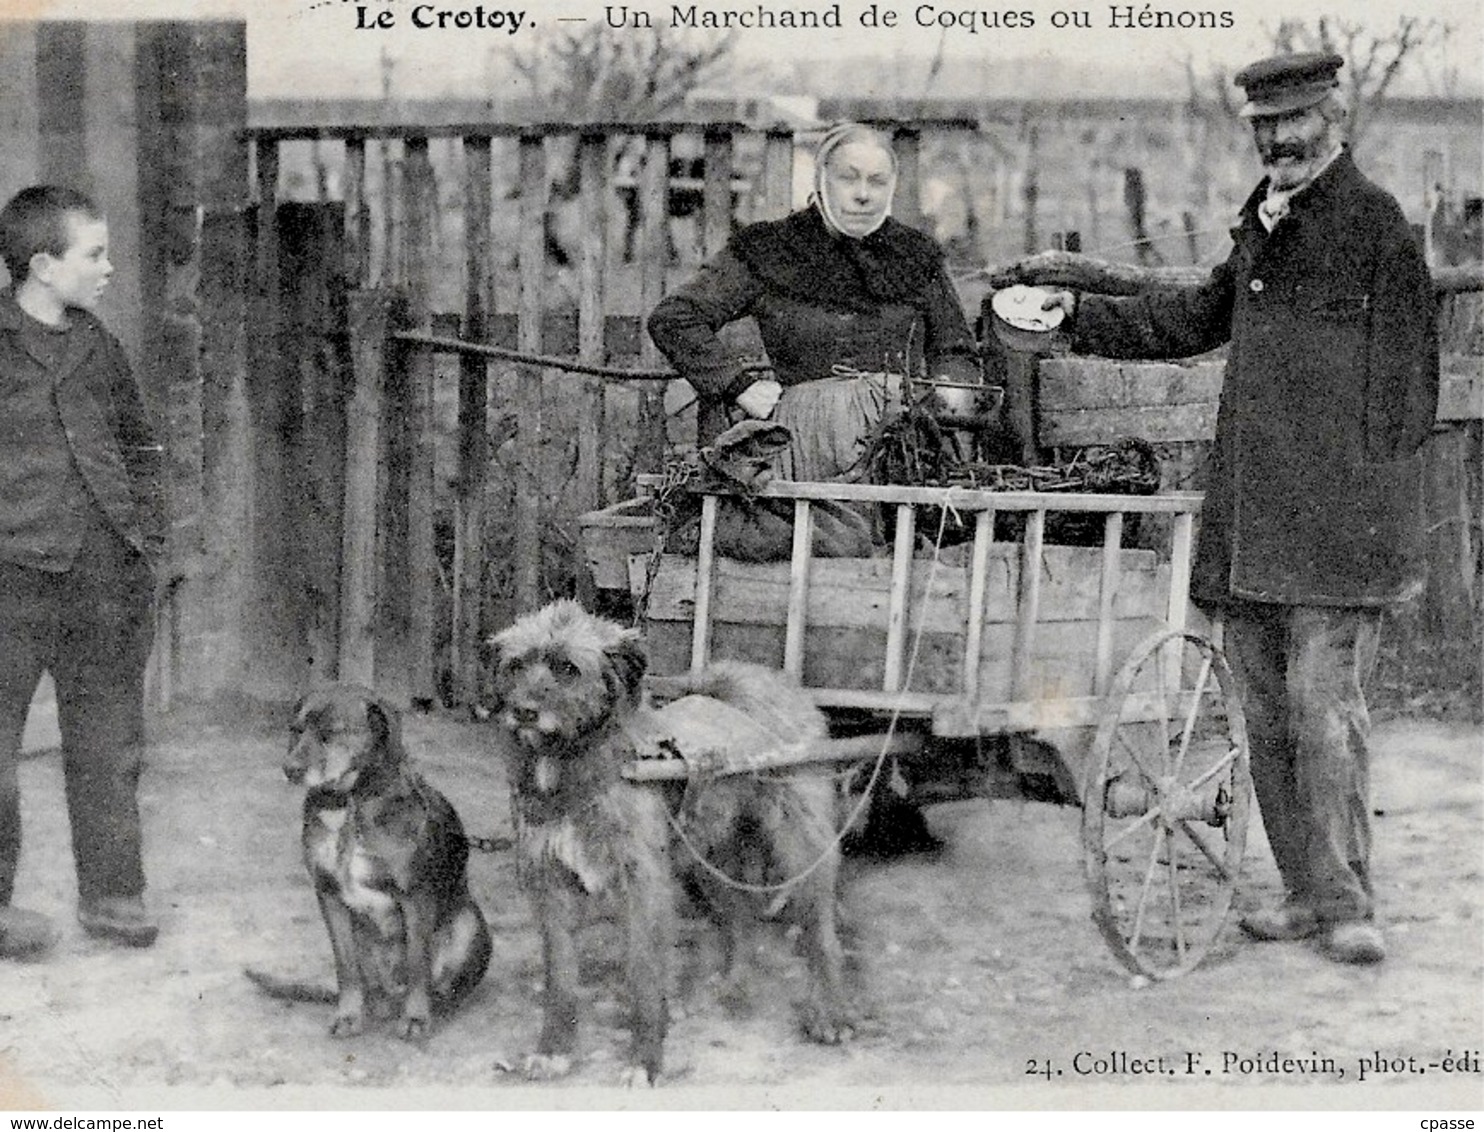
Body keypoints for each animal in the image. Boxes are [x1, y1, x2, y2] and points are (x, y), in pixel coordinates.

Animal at [247, 682, 492, 1044]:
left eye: (332, 733)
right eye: (296, 730)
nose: (289, 769)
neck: (350, 803)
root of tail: (390, 995)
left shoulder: (415, 897)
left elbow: (418, 965)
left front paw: (416, 1017)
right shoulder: (329, 896)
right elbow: (346, 968)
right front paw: (348, 1015)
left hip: (469, 923)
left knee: (445, 984)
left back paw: (434, 1006)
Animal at [486, 602, 860, 1091]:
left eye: (568, 668)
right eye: (516, 666)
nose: (524, 712)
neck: (575, 764)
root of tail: (760, 688)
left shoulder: (644, 886)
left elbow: (644, 976)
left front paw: (645, 1060)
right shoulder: (549, 887)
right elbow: (560, 980)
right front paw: (553, 1052)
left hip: (801, 850)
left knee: (821, 935)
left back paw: (831, 1014)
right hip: (708, 860)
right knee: (738, 918)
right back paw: (732, 985)